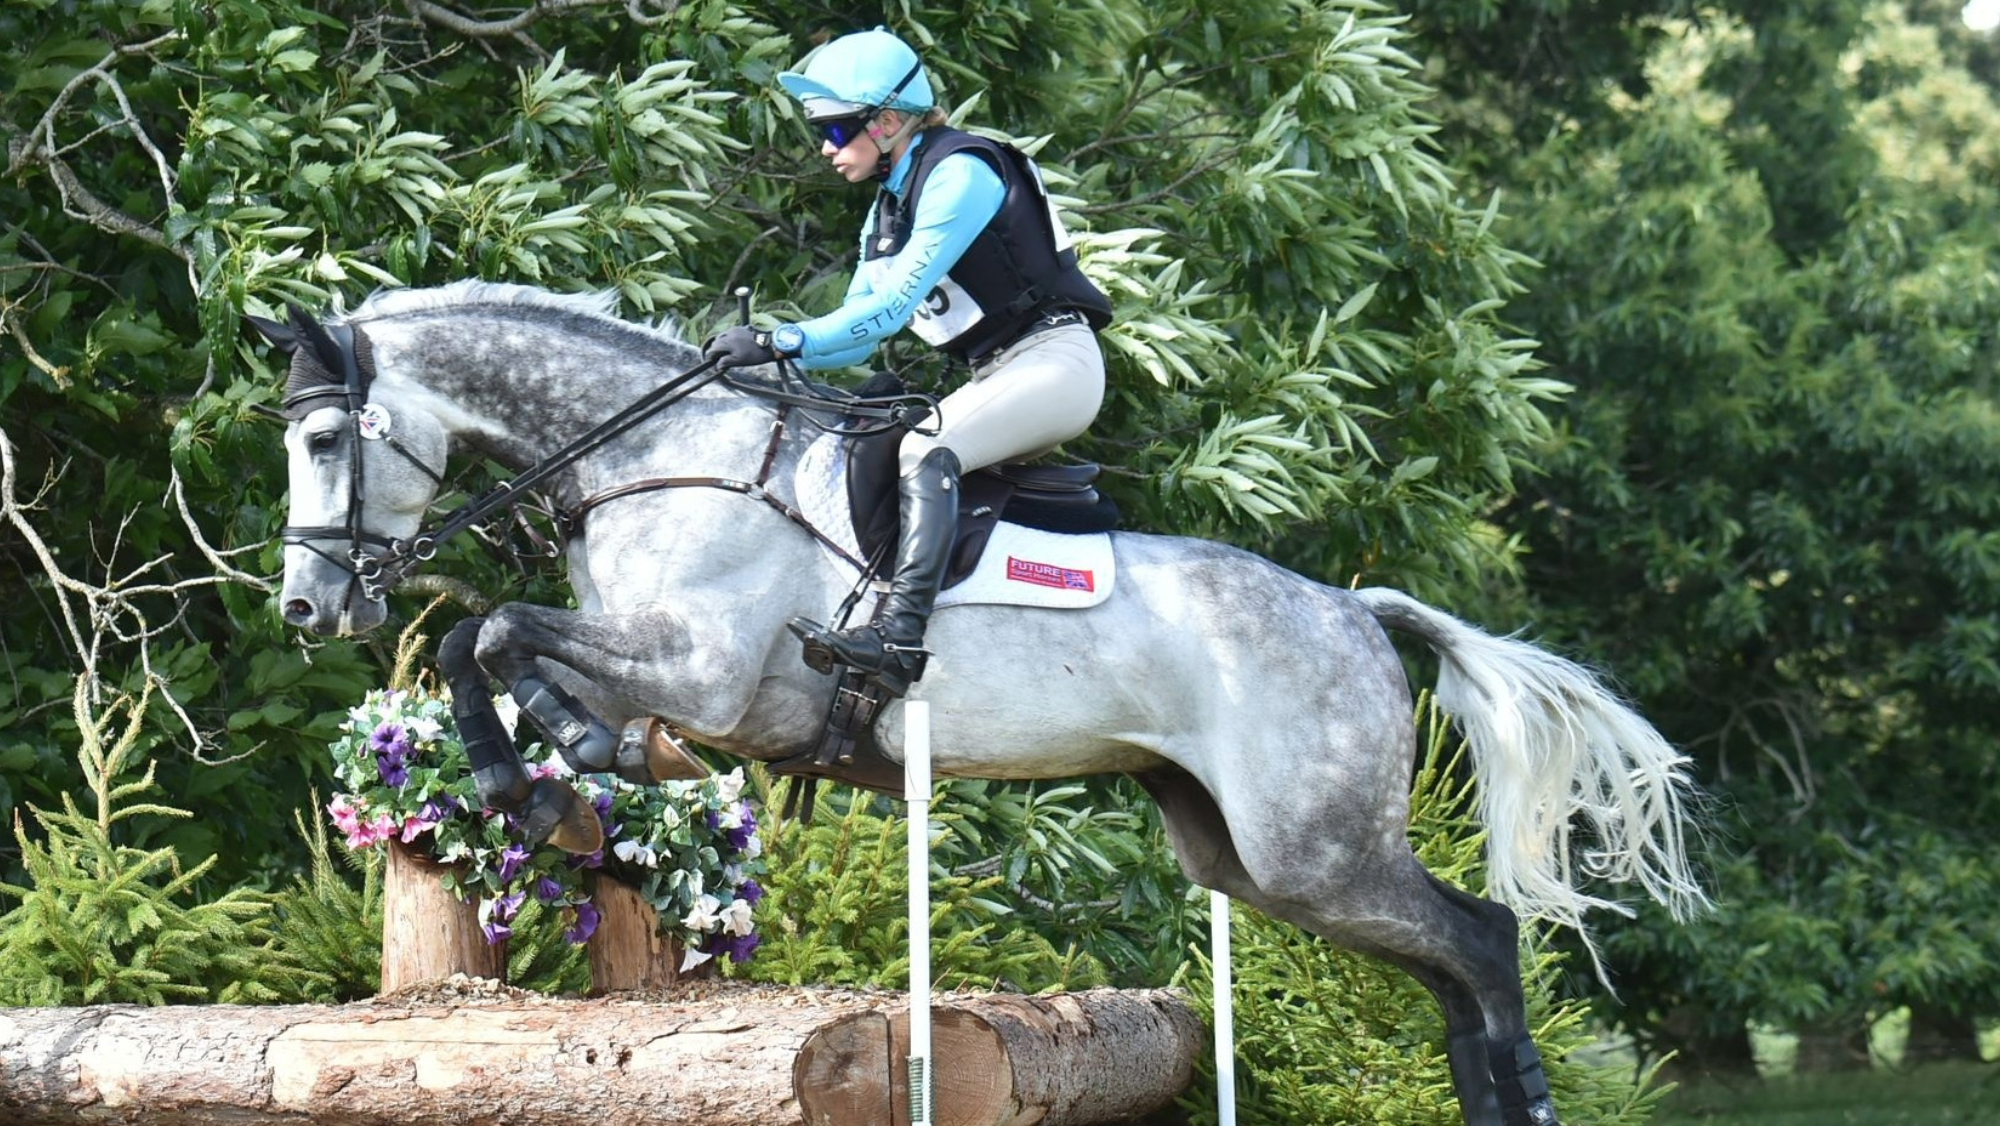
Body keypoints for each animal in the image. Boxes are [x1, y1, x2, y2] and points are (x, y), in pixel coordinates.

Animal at [253, 279, 1704, 1126]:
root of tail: (1356, 612)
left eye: (323, 440)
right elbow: (502, 650)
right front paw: (563, 770)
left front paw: (536, 776)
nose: (308, 612)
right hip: (1249, 855)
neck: (662, 456)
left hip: (1317, 848)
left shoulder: (699, 666)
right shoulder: (661, 669)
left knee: (1484, 942)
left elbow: (491, 629)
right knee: (1454, 966)